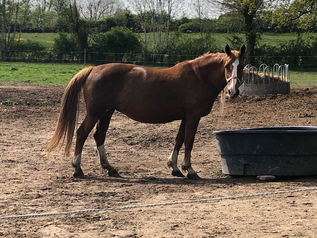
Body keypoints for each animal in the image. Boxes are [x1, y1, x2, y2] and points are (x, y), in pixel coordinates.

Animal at [45, 43, 246, 179]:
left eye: (242, 66)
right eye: (227, 66)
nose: (233, 91)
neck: (199, 77)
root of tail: (93, 69)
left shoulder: (185, 117)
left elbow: (179, 139)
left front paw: (174, 167)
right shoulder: (193, 116)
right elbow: (189, 141)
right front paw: (189, 169)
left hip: (106, 113)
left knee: (98, 136)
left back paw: (109, 168)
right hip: (95, 113)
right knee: (81, 133)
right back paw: (77, 169)